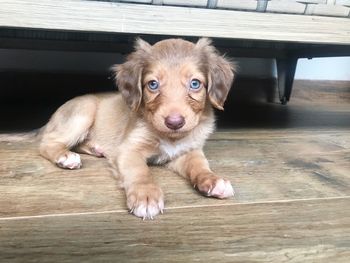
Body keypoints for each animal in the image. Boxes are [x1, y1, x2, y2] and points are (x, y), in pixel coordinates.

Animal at [38, 36, 237, 219]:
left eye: (195, 83)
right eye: (153, 84)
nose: (174, 122)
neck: (170, 137)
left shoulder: (187, 151)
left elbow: (199, 166)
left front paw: (213, 179)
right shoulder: (129, 149)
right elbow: (140, 171)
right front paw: (146, 196)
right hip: (83, 113)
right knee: (46, 143)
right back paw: (65, 157)